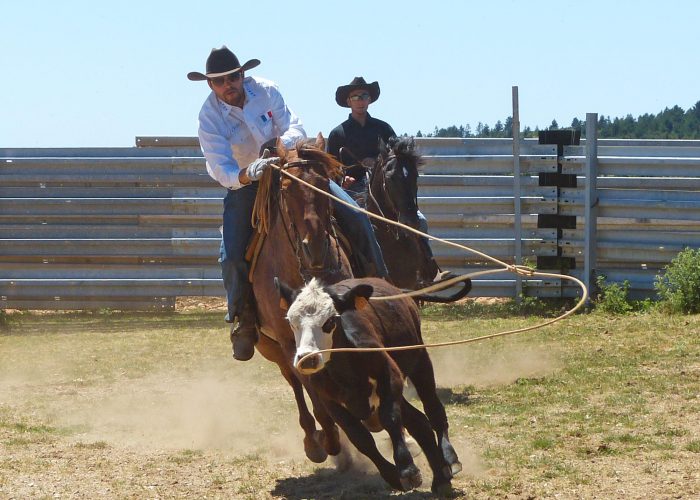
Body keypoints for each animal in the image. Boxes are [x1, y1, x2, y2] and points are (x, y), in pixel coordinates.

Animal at [249, 135, 352, 462]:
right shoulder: (287, 339)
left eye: (325, 183)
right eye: (285, 187)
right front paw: (329, 436)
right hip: (271, 348)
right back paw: (314, 439)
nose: (316, 248)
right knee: (295, 381)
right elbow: (310, 385)